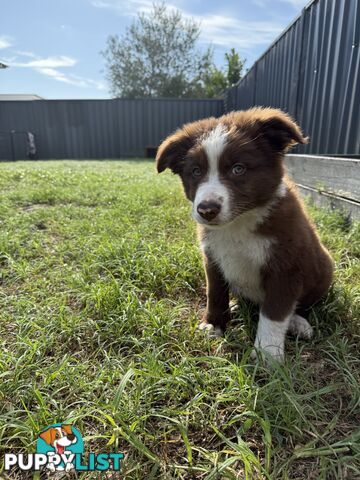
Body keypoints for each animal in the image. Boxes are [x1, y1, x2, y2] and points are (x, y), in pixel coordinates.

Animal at [156, 106, 334, 360]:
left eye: (238, 169)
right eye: (195, 171)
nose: (206, 210)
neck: (238, 224)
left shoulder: (286, 267)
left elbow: (274, 314)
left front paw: (267, 355)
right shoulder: (213, 258)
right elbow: (215, 294)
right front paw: (214, 324)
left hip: (323, 271)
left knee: (301, 306)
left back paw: (298, 323)